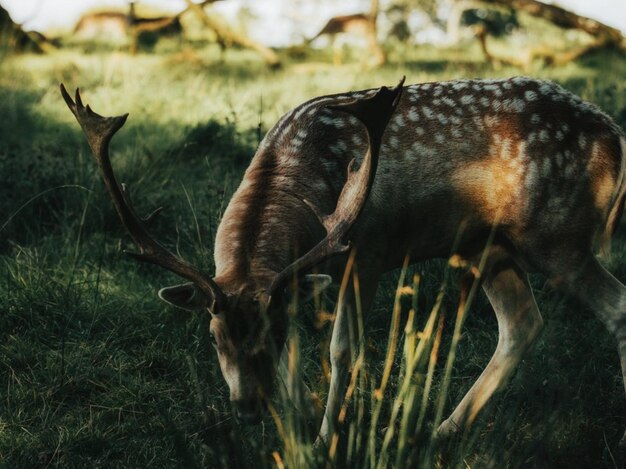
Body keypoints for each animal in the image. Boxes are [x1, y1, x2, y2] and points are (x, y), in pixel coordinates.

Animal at [61, 75, 624, 448]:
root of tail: (615, 137)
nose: (247, 407)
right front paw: (304, 417)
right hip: (488, 243)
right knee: (522, 322)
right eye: (213, 336)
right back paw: (440, 430)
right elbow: (299, 353)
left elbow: (341, 349)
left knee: (614, 307)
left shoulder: (365, 251)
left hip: (558, 235)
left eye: (266, 335)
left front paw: (328, 436)